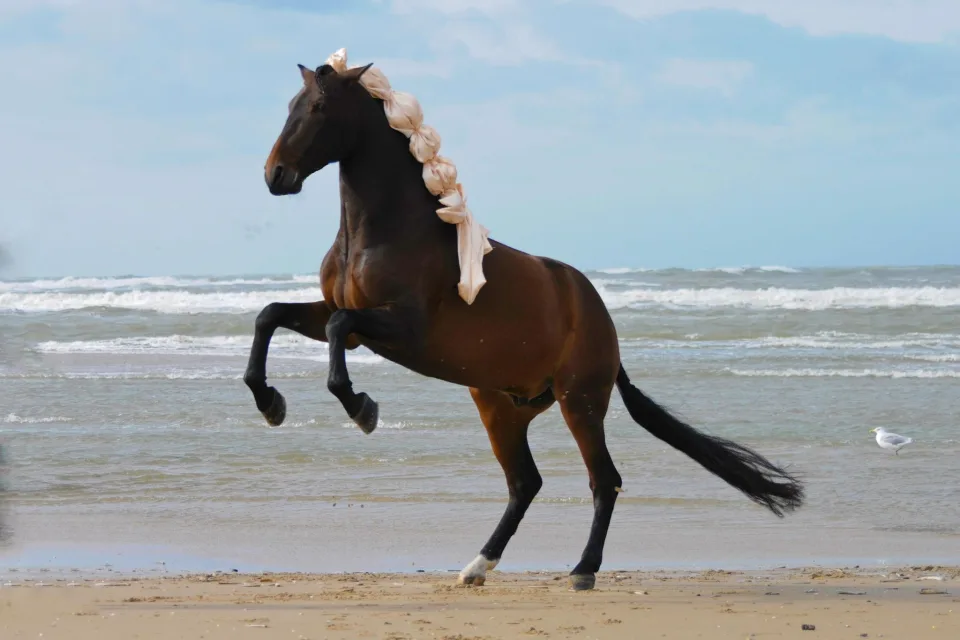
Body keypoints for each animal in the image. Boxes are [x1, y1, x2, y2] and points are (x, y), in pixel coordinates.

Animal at [243, 51, 804, 591]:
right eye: (290, 106)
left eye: (318, 108)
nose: (275, 175)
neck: (385, 231)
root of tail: (599, 317)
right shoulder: (349, 320)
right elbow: (272, 316)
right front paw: (271, 403)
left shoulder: (401, 328)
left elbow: (337, 328)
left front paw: (362, 408)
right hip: (502, 407)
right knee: (525, 483)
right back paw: (476, 567)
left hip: (580, 403)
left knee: (603, 480)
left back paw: (582, 570)